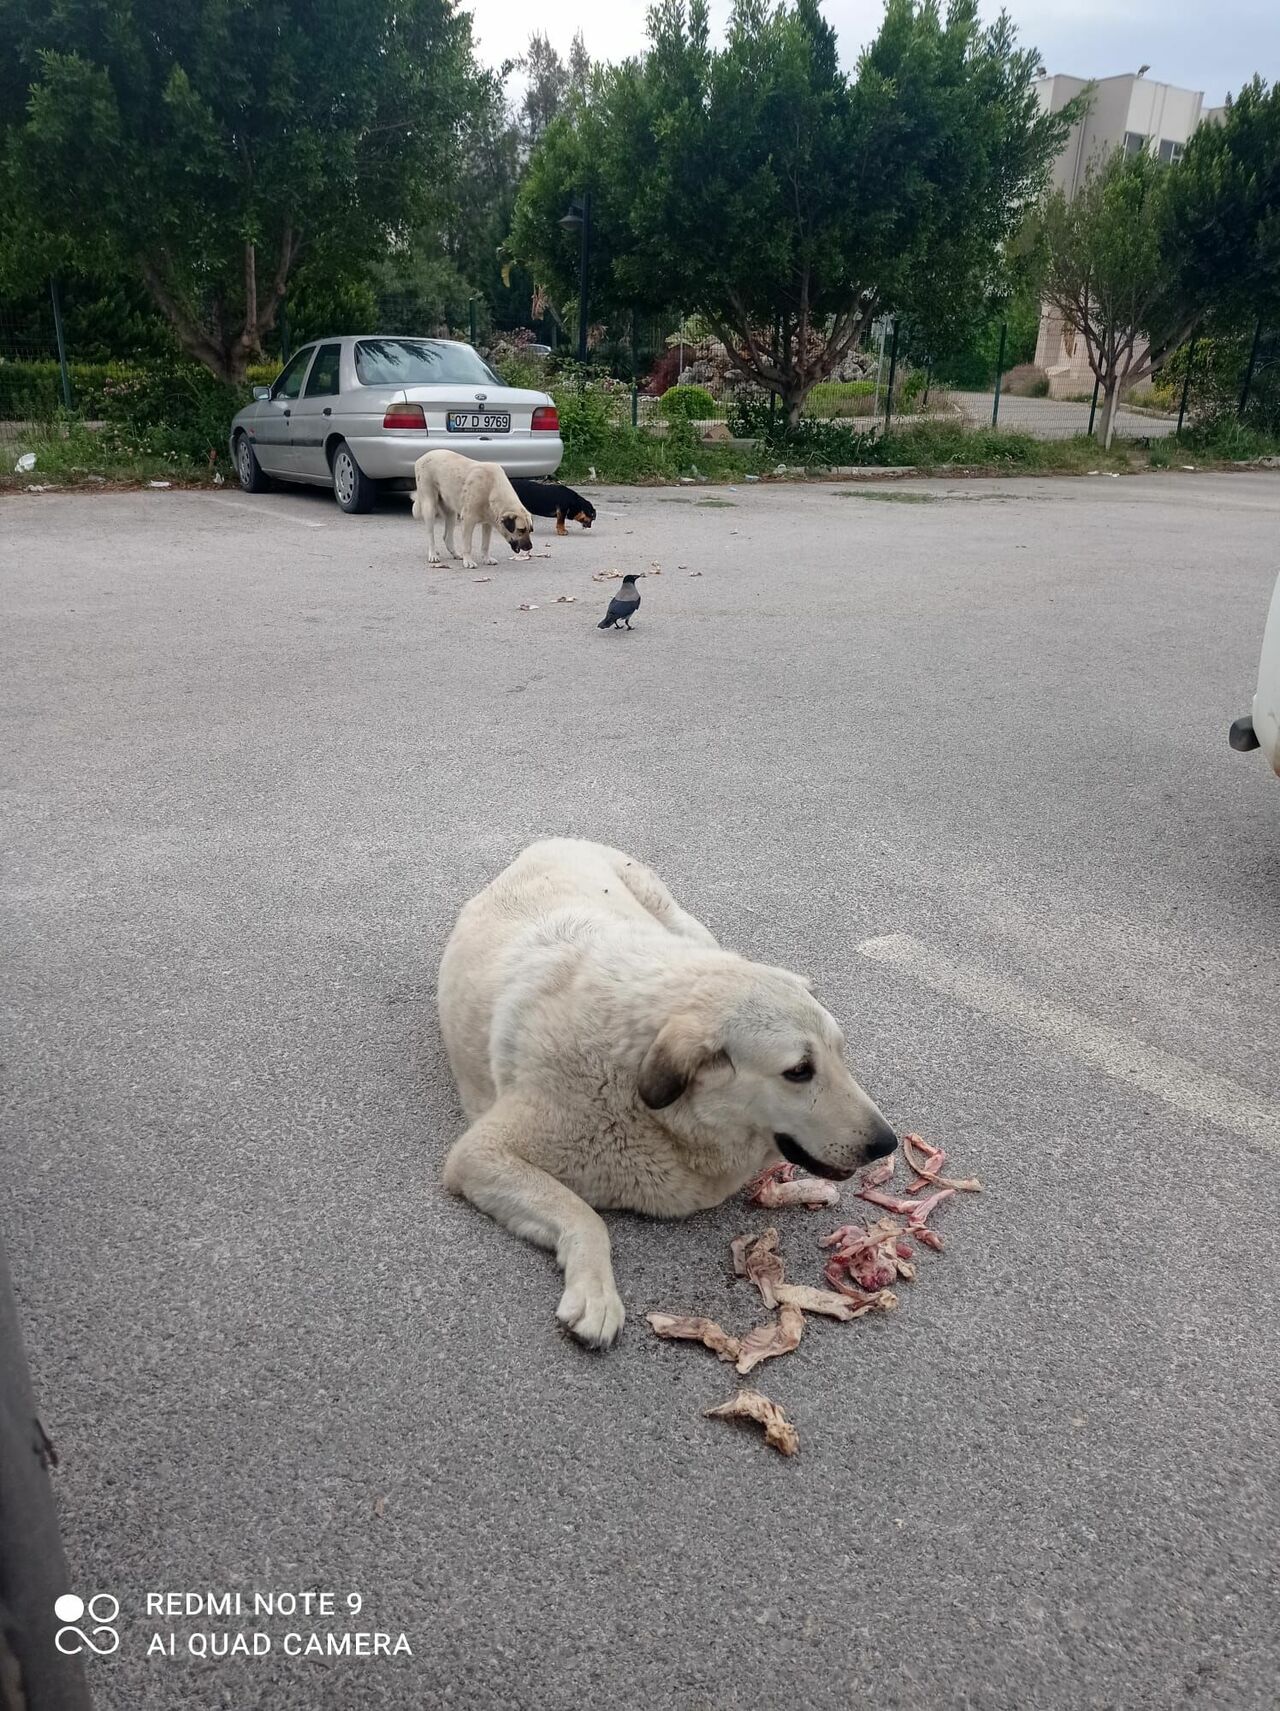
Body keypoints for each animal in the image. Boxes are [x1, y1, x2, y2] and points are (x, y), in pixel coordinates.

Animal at [434, 841, 896, 1348]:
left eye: (840, 1054)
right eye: (799, 1071)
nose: (886, 1144)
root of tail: (551, 840)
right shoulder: (481, 1154)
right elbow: (582, 1214)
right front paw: (596, 1293)